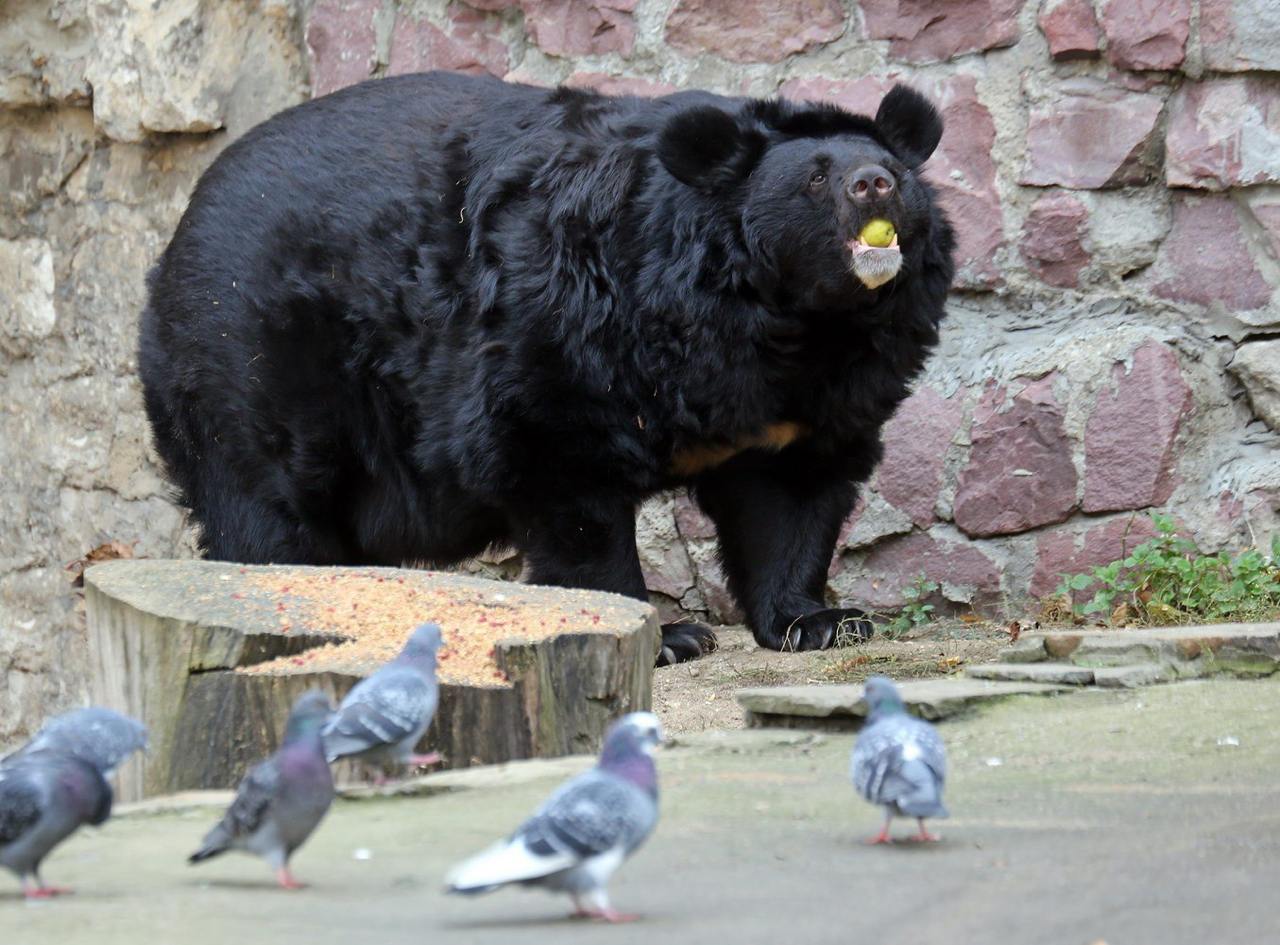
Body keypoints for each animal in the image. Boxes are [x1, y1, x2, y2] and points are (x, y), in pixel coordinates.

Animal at [142, 71, 952, 660]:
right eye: (815, 178)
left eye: (894, 171)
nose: (872, 184)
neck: (790, 322)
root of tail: (175, 237)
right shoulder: (570, 325)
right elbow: (562, 475)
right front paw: (666, 634)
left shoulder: (816, 396)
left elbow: (792, 496)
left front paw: (821, 621)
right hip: (253, 362)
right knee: (268, 511)